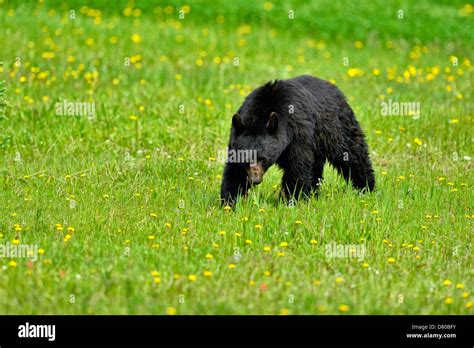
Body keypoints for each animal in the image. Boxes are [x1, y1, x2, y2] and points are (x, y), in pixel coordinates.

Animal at [220, 75, 376, 205]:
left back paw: (366, 187)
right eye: (246, 159)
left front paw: (290, 200)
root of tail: (334, 88)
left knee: (353, 155)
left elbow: (297, 167)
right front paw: (230, 202)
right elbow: (234, 171)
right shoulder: (235, 139)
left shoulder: (298, 133)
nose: (255, 180)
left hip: (338, 128)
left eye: (263, 159)